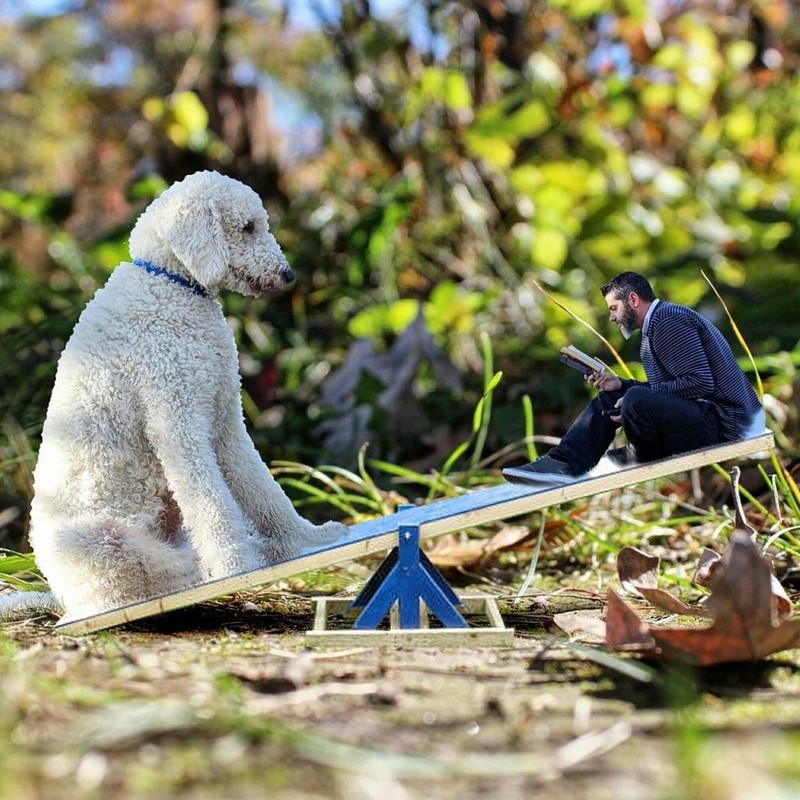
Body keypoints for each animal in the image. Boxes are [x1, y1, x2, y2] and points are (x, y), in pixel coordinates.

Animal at [24, 170, 344, 620]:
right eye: (248, 228)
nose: (289, 276)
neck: (169, 284)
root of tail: (64, 599)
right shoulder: (177, 424)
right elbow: (213, 506)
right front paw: (235, 567)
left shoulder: (226, 420)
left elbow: (263, 490)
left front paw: (307, 538)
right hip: (104, 538)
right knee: (147, 580)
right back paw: (208, 571)